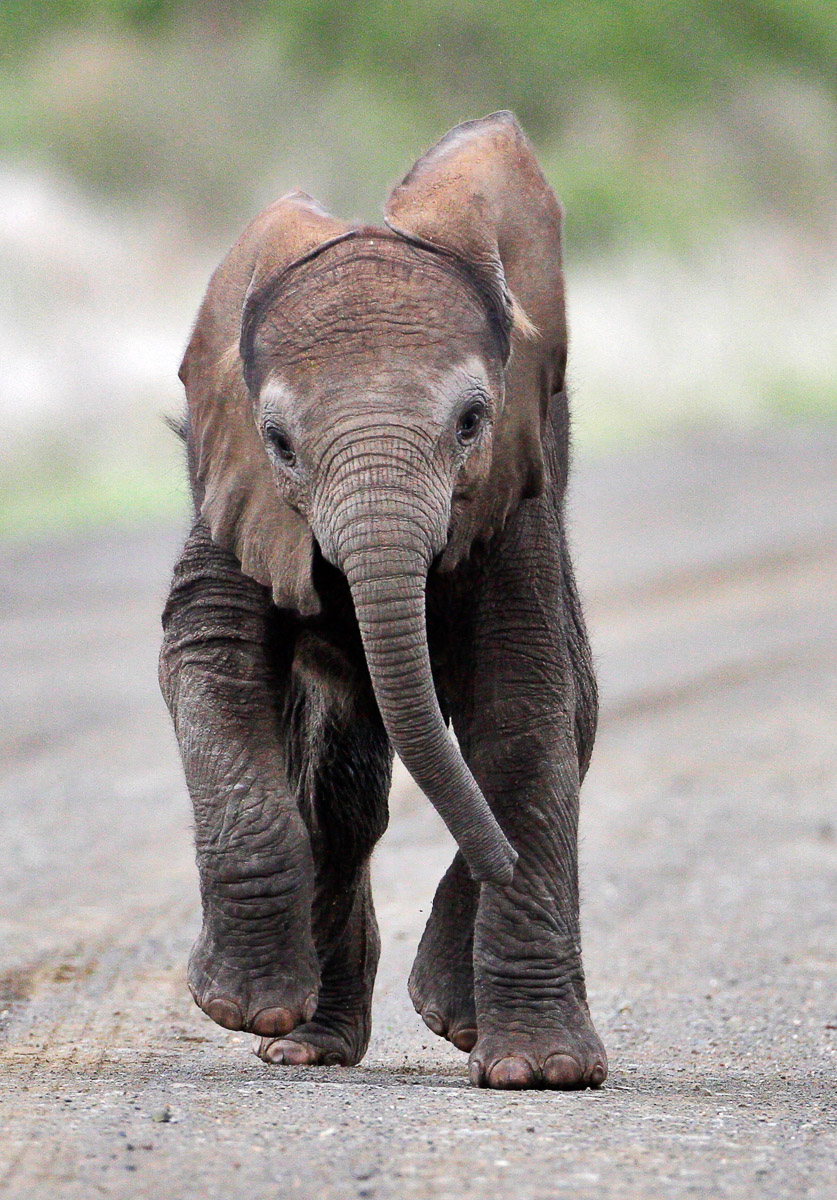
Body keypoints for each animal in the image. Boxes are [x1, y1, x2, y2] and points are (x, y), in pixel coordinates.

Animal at [159, 111, 607, 1090]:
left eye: (471, 423)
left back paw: (446, 1019)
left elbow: (524, 711)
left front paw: (543, 1072)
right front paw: (236, 1006)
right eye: (279, 441)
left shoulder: (512, 503)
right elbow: (208, 664)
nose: (499, 861)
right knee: (342, 795)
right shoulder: (232, 491)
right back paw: (302, 1043)